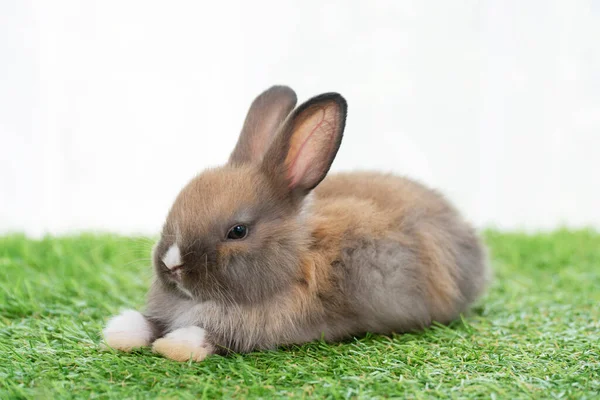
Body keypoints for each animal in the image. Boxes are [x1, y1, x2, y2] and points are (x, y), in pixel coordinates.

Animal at [102, 86, 488, 360]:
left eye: (237, 231)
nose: (171, 264)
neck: (294, 260)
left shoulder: (261, 328)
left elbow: (209, 337)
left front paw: (172, 346)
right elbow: (146, 322)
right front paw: (119, 334)